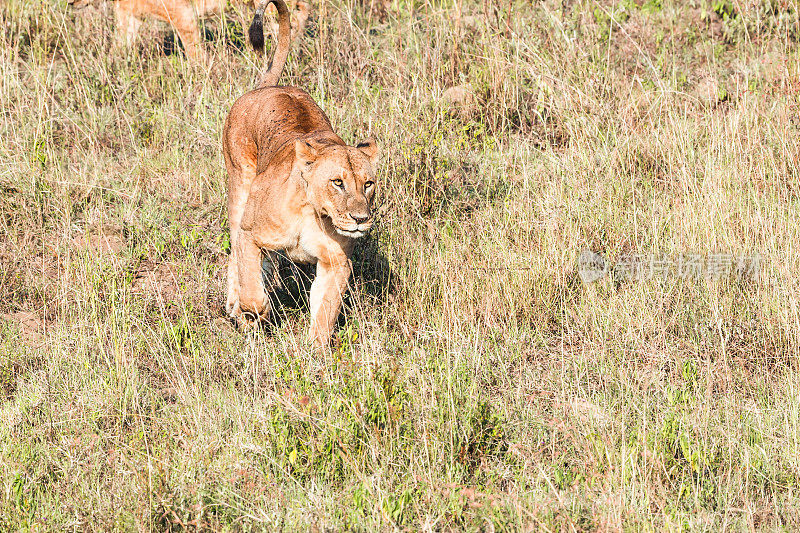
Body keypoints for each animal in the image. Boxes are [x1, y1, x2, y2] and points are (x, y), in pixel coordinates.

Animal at [220, 0, 380, 344]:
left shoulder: (336, 262)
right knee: (236, 254)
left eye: (368, 184)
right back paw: (235, 305)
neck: (313, 212)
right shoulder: (251, 233)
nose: (361, 219)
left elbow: (325, 312)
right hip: (239, 184)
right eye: (338, 182)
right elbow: (251, 286)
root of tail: (269, 85)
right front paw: (252, 313)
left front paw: (315, 353)